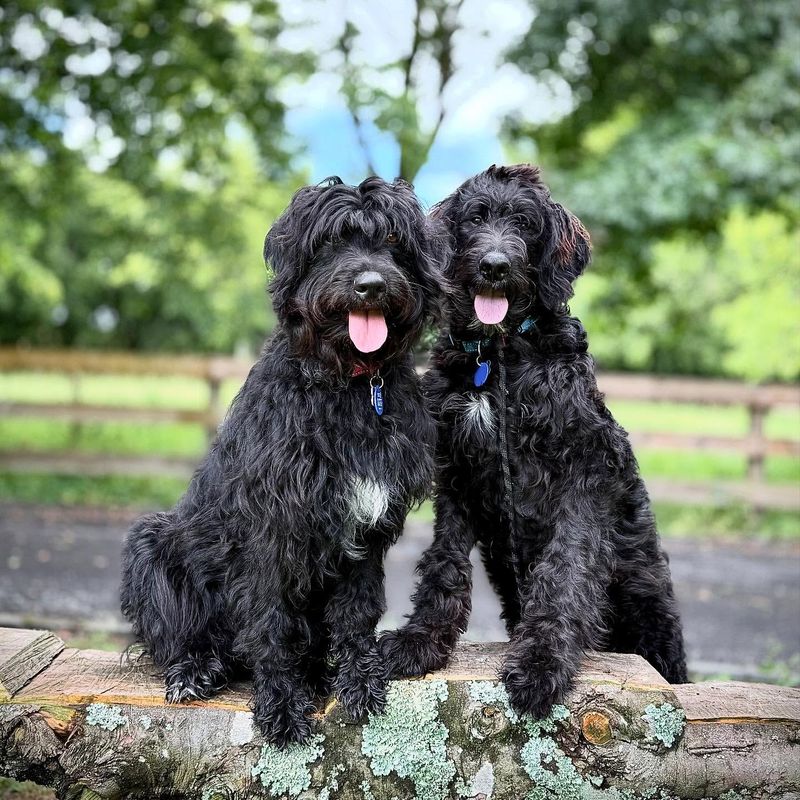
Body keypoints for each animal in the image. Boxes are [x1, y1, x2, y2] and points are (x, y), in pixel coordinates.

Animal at [121, 175, 440, 744]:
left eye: (392, 241)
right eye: (332, 241)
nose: (371, 285)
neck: (349, 385)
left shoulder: (366, 530)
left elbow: (357, 613)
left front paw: (359, 682)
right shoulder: (270, 530)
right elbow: (269, 623)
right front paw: (281, 708)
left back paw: (314, 672)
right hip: (153, 543)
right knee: (181, 636)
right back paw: (195, 669)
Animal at [382, 166, 688, 716]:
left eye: (525, 224)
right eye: (475, 219)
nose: (494, 266)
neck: (502, 351)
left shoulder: (585, 472)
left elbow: (564, 571)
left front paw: (542, 664)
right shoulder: (458, 473)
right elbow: (445, 565)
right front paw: (421, 640)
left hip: (649, 610)